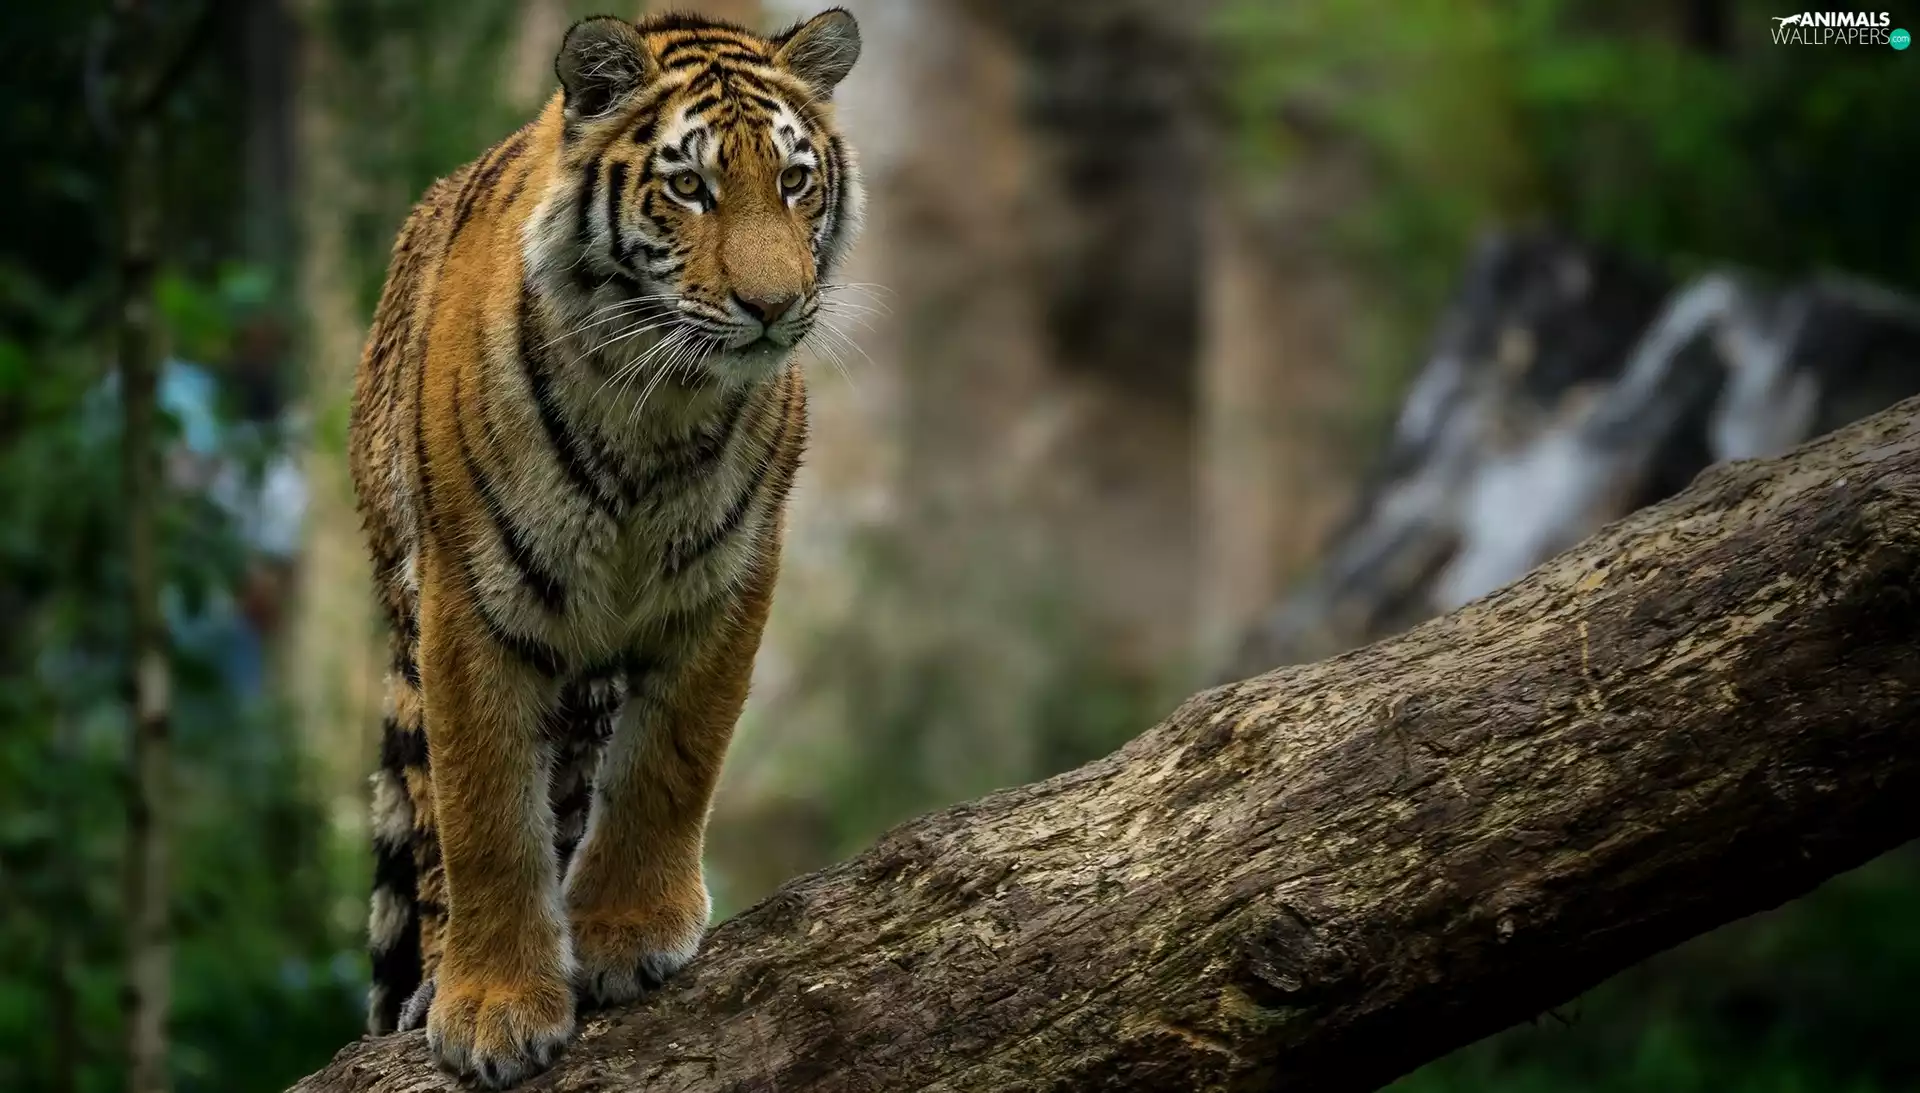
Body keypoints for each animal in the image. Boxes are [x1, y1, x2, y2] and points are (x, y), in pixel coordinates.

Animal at [346, 8, 864, 1086]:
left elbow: (670, 760)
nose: (772, 306)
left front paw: (625, 936)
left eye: (795, 180)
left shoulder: (727, 580)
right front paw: (492, 1009)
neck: (654, 405)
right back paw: (431, 980)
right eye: (690, 186)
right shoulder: (471, 602)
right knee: (429, 827)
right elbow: (485, 812)